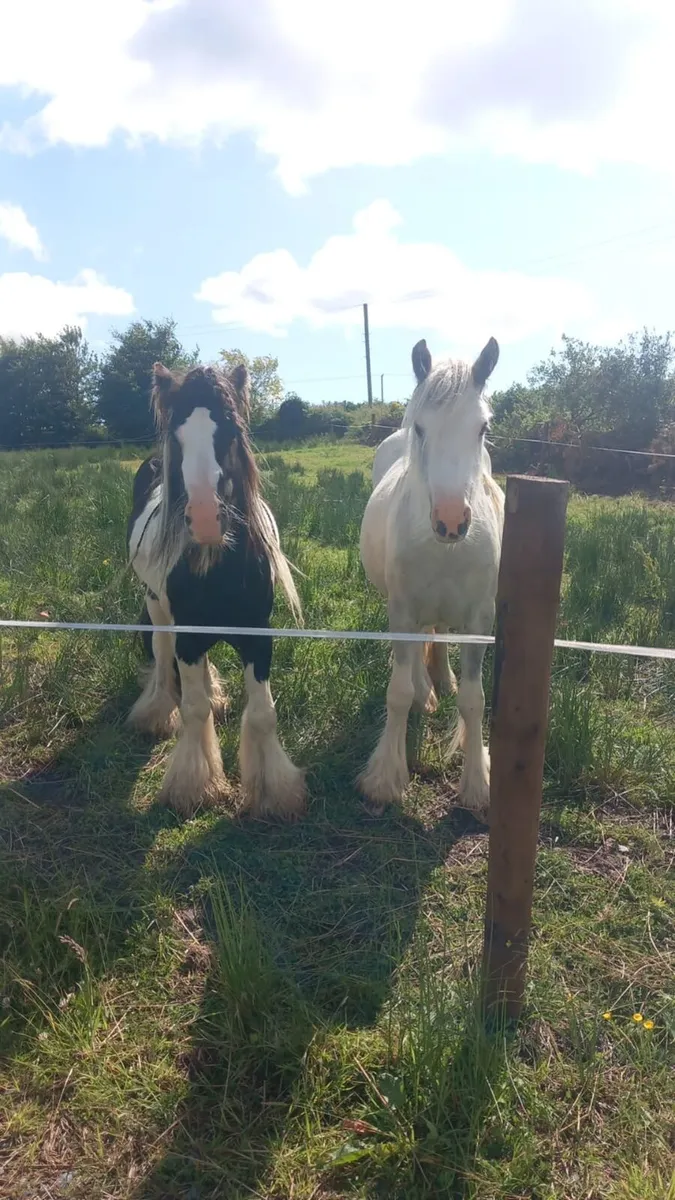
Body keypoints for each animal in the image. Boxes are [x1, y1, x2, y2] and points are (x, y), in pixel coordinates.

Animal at [126, 361, 306, 821]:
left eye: (231, 429)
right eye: (176, 434)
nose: (206, 519)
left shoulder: (258, 636)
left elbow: (262, 714)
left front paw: (273, 793)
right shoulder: (188, 637)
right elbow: (193, 708)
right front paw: (194, 785)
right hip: (158, 609)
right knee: (162, 656)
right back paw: (156, 711)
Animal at [358, 336, 504, 818]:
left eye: (481, 429)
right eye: (421, 428)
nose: (451, 521)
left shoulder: (479, 620)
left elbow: (475, 700)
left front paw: (478, 782)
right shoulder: (401, 611)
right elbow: (398, 692)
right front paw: (386, 778)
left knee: (436, 633)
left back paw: (441, 679)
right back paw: (427, 690)